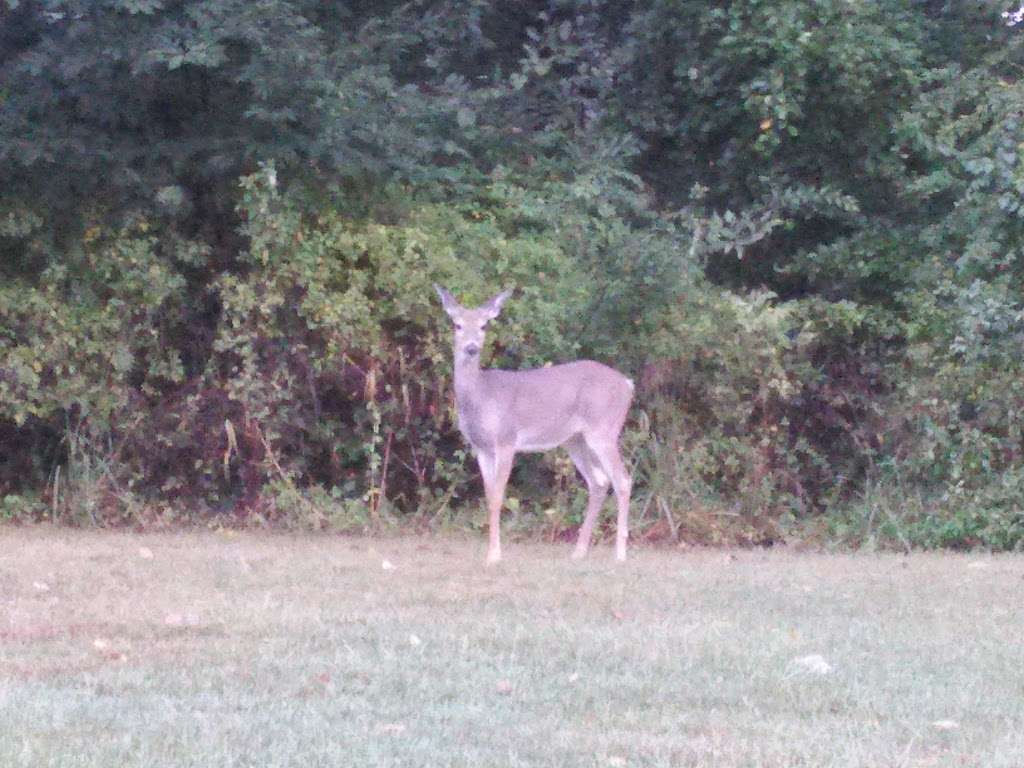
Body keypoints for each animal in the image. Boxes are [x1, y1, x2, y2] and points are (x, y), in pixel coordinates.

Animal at [436, 288, 634, 565]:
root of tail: (627, 384)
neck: (482, 397)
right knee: (599, 482)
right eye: (457, 324)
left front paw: (494, 555)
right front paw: (492, 552)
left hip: (604, 429)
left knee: (623, 480)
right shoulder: (481, 448)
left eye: (484, 325)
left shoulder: (506, 439)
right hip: (575, 440)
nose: (472, 348)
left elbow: (498, 497)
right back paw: (579, 551)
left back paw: (620, 554)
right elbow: (488, 496)